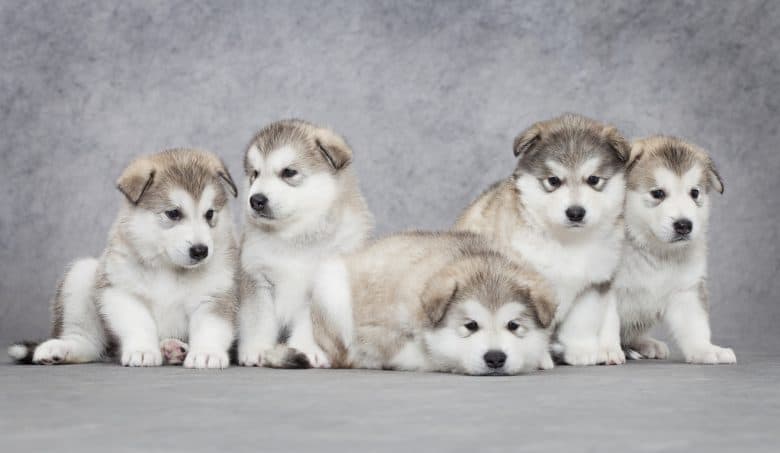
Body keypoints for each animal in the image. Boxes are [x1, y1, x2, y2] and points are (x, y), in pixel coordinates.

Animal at [7, 148, 239, 368]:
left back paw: (173, 349)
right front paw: (143, 350)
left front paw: (207, 353)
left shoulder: (215, 296)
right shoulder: (121, 291)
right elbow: (140, 323)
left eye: (210, 214)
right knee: (87, 341)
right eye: (173, 213)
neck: (168, 267)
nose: (201, 250)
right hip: (81, 274)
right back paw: (59, 349)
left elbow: (210, 327)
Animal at [236, 118, 374, 366]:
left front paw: (307, 349)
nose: (256, 200)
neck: (295, 237)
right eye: (255, 174)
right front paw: (256, 348)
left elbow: (310, 325)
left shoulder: (322, 286)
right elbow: (257, 319)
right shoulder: (256, 277)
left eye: (289, 172)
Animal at [266, 230, 556, 374]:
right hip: (332, 289)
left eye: (513, 326)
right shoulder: (380, 334)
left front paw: (541, 356)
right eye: (470, 326)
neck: (476, 256)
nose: (495, 358)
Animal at [454, 112, 632, 364]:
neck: (568, 242)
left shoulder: (594, 284)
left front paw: (582, 352)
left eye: (594, 180)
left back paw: (609, 350)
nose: (575, 212)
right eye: (553, 181)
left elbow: (582, 321)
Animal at [612, 135, 736, 364]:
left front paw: (706, 349)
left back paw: (645, 344)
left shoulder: (687, 288)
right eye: (657, 193)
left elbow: (695, 325)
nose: (684, 225)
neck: (656, 252)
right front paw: (604, 350)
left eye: (694, 192)